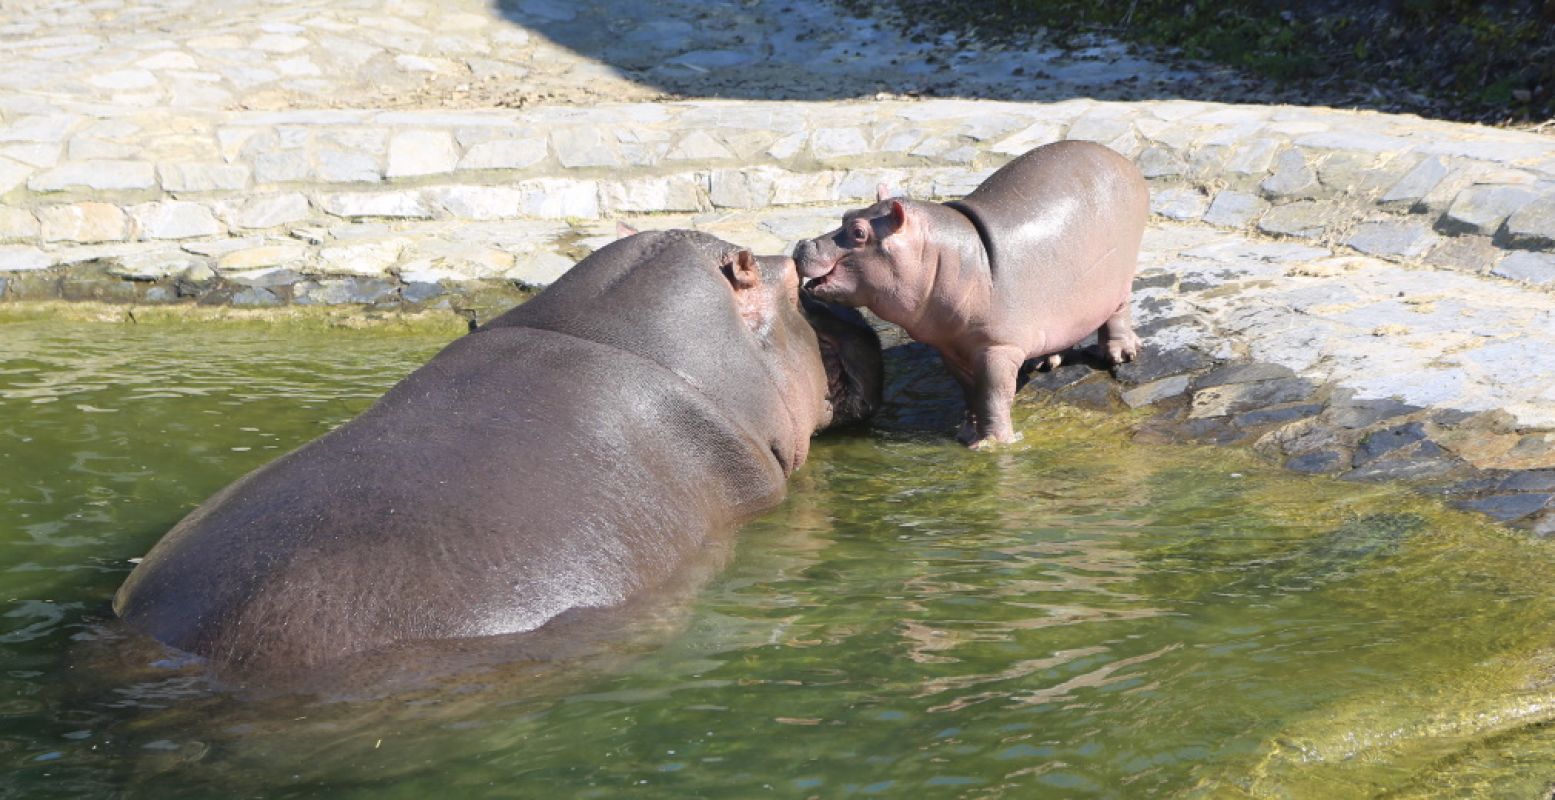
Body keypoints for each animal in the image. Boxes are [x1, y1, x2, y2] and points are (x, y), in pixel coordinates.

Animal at [796, 140, 1150, 445]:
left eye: (859, 233)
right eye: (845, 215)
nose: (802, 243)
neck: (943, 254)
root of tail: (1120, 159)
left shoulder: (997, 347)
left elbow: (994, 394)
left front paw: (995, 444)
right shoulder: (951, 347)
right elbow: (970, 393)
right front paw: (966, 435)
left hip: (1119, 275)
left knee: (1119, 309)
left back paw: (1121, 353)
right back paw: (1045, 361)